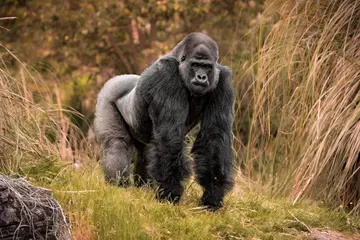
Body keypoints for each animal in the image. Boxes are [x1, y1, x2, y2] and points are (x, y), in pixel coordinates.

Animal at [93, 32, 233, 210]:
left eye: (207, 67)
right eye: (195, 65)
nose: (201, 77)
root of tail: (120, 78)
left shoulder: (223, 80)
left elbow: (214, 136)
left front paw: (212, 195)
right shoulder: (167, 73)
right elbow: (169, 135)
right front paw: (170, 193)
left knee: (147, 152)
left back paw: (144, 188)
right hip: (107, 94)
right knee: (116, 143)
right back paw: (119, 187)